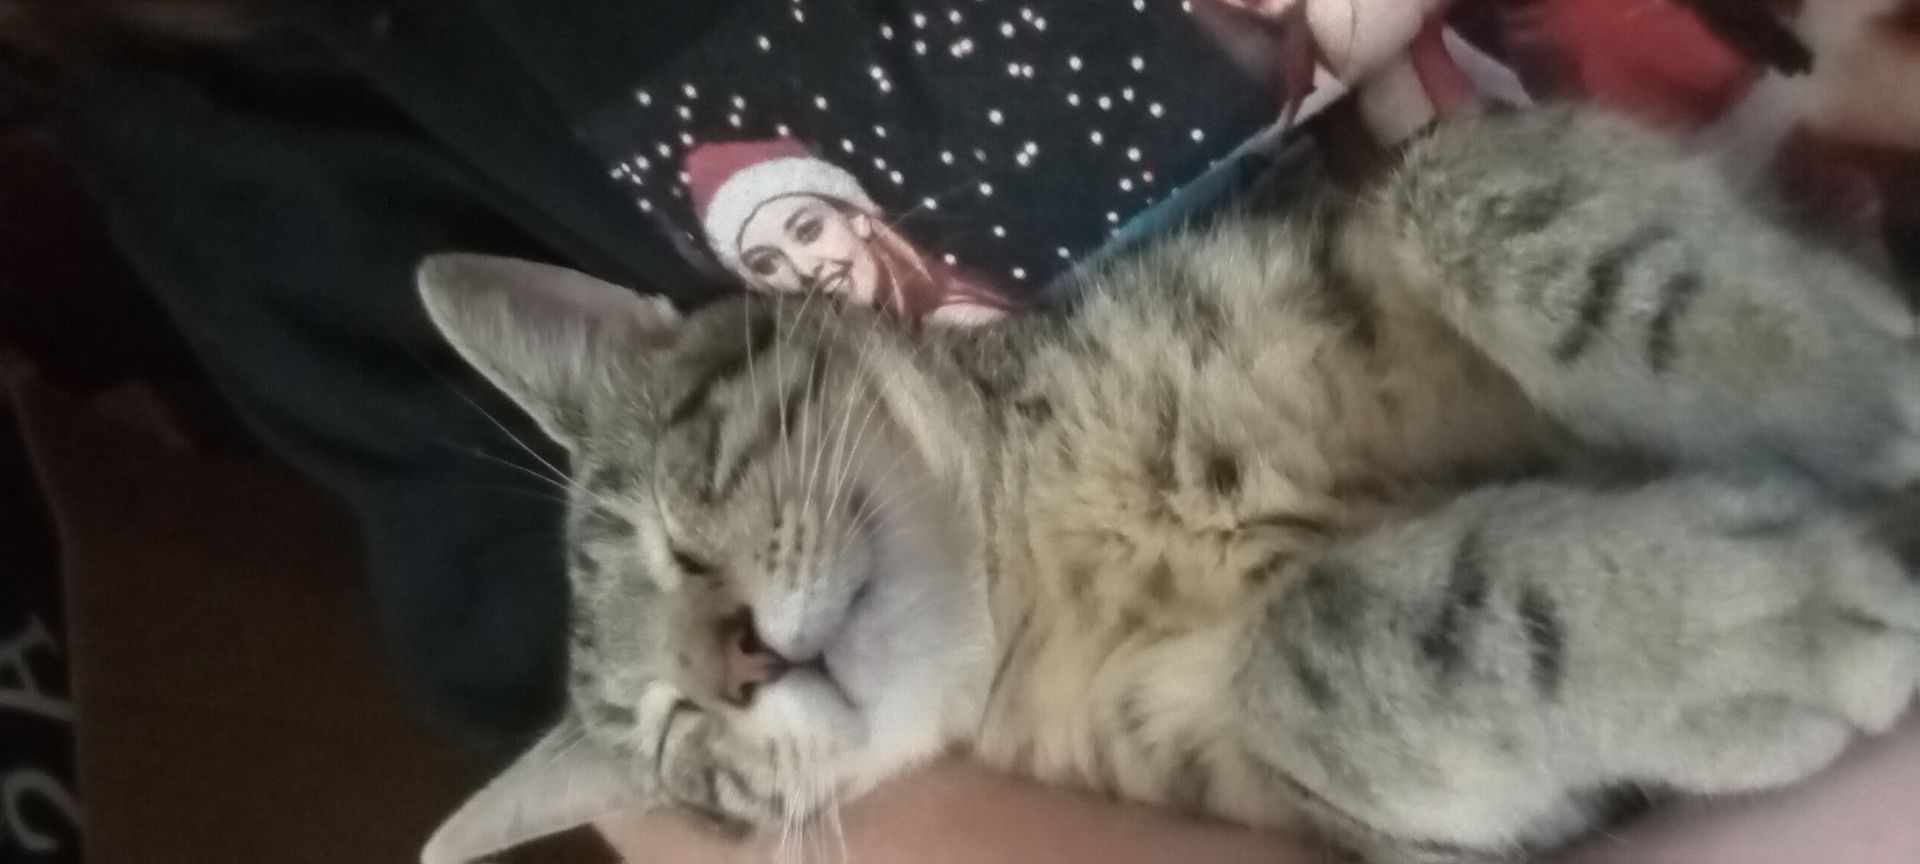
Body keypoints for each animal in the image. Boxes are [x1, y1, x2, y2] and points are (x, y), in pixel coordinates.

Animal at [416, 104, 1920, 864]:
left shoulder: (1362, 217)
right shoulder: (1398, 828)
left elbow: (1476, 191)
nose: (732, 667)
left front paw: (1840, 375)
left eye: (672, 526)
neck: (1048, 550)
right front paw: (1744, 621)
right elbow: (1315, 647)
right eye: (681, 741)